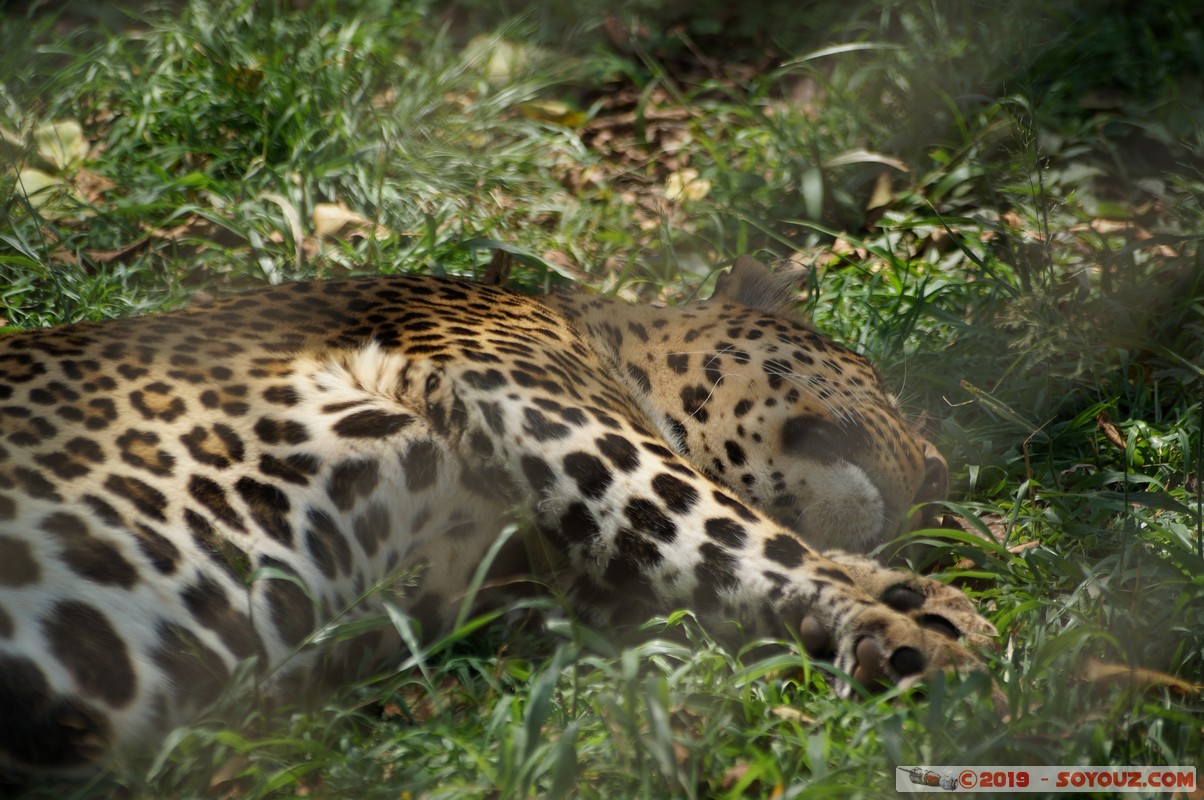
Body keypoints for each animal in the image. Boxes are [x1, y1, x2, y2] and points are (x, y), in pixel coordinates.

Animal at [0, 254, 996, 775]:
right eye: (871, 373)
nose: (943, 475)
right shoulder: (548, 417)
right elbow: (727, 526)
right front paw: (922, 638)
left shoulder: (532, 586)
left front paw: (920, 598)